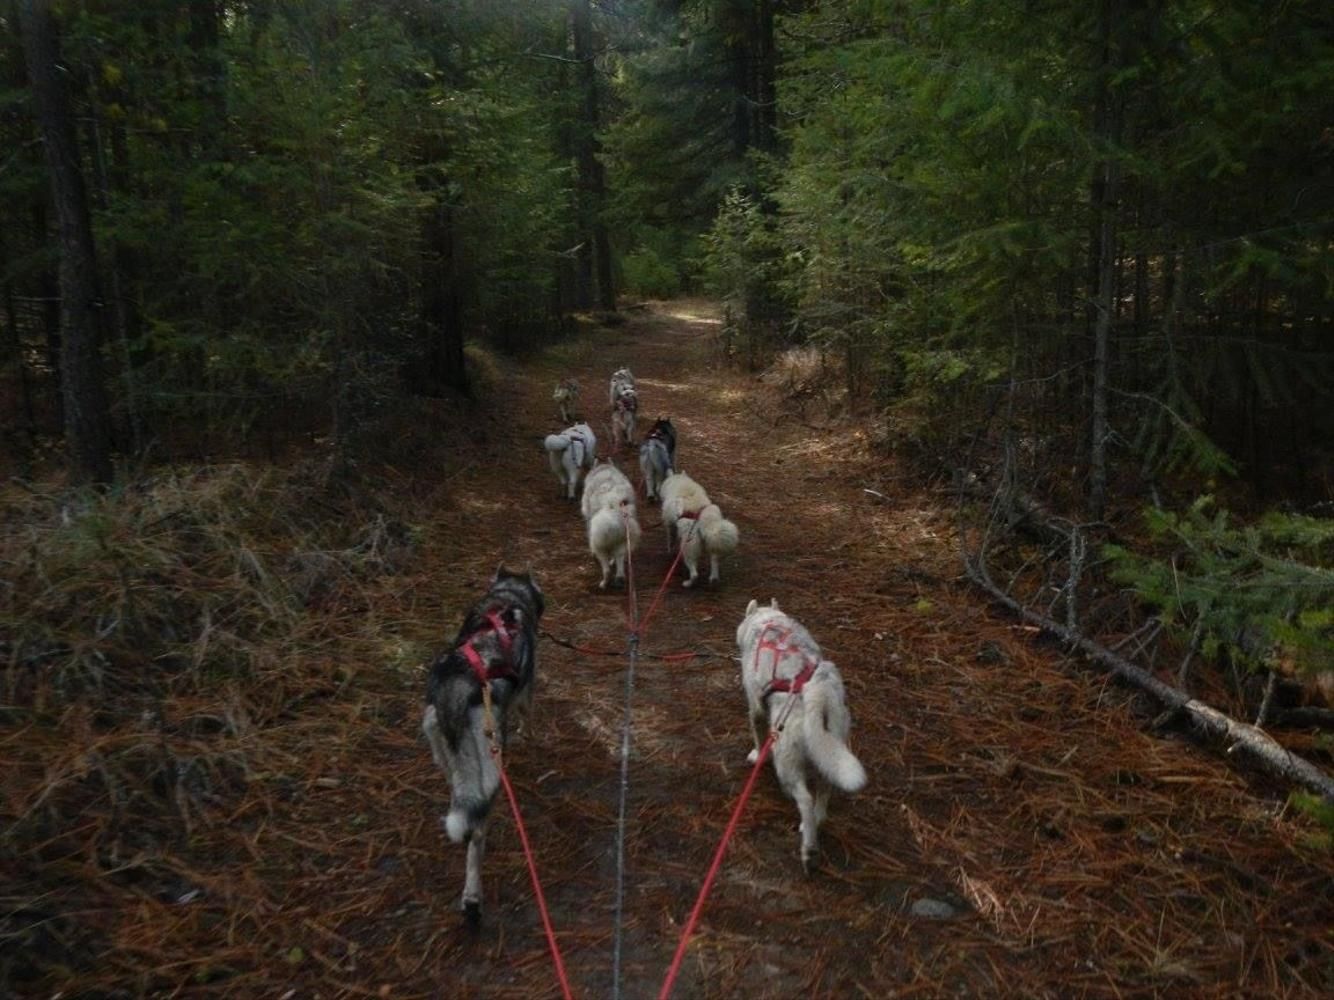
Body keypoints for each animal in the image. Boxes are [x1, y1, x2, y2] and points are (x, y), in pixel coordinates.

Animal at [418, 568, 538, 928]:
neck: (506, 598)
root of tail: (457, 691)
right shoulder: (526, 692)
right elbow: (527, 715)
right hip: (490, 771)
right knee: (477, 834)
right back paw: (472, 897)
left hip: (450, 761)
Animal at [736, 600, 869, 874]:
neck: (769, 621)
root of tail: (817, 688)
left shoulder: (756, 707)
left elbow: (757, 734)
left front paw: (756, 756)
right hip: (828, 749)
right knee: (824, 790)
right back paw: (815, 823)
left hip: (786, 763)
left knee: (805, 800)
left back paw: (808, 849)